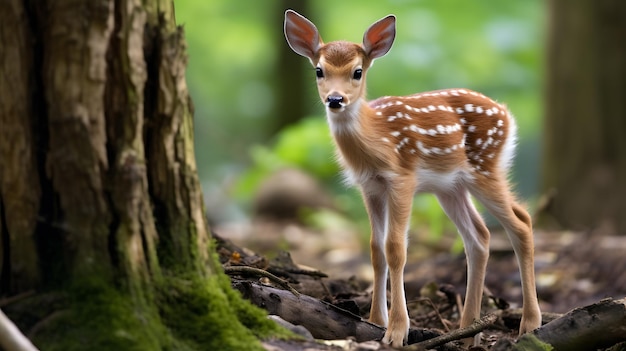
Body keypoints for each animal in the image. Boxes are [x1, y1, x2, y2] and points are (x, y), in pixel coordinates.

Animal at [284, 9, 540, 348]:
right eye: (318, 70)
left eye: (357, 72)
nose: (335, 99)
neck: (374, 139)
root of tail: (507, 115)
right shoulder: (370, 187)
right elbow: (375, 249)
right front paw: (375, 320)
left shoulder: (402, 179)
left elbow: (396, 249)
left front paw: (396, 331)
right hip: (451, 187)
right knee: (480, 236)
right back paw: (468, 331)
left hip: (486, 167)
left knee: (521, 223)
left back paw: (529, 324)